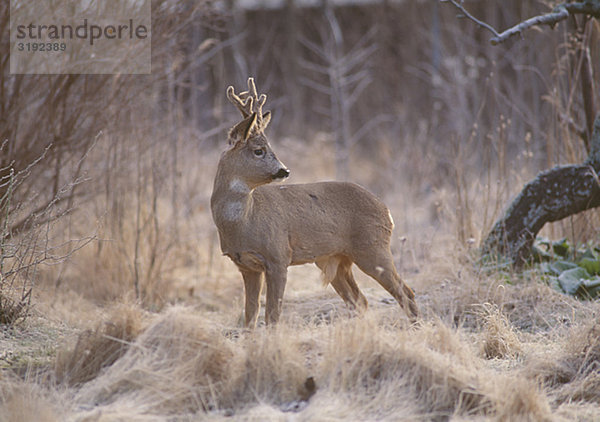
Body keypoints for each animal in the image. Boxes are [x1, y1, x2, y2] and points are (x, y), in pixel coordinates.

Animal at [211, 77, 418, 328]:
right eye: (258, 150)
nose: (284, 170)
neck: (244, 221)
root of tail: (387, 211)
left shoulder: (278, 256)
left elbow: (272, 314)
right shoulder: (245, 266)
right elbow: (250, 316)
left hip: (373, 247)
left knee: (406, 292)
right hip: (336, 259)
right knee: (360, 300)